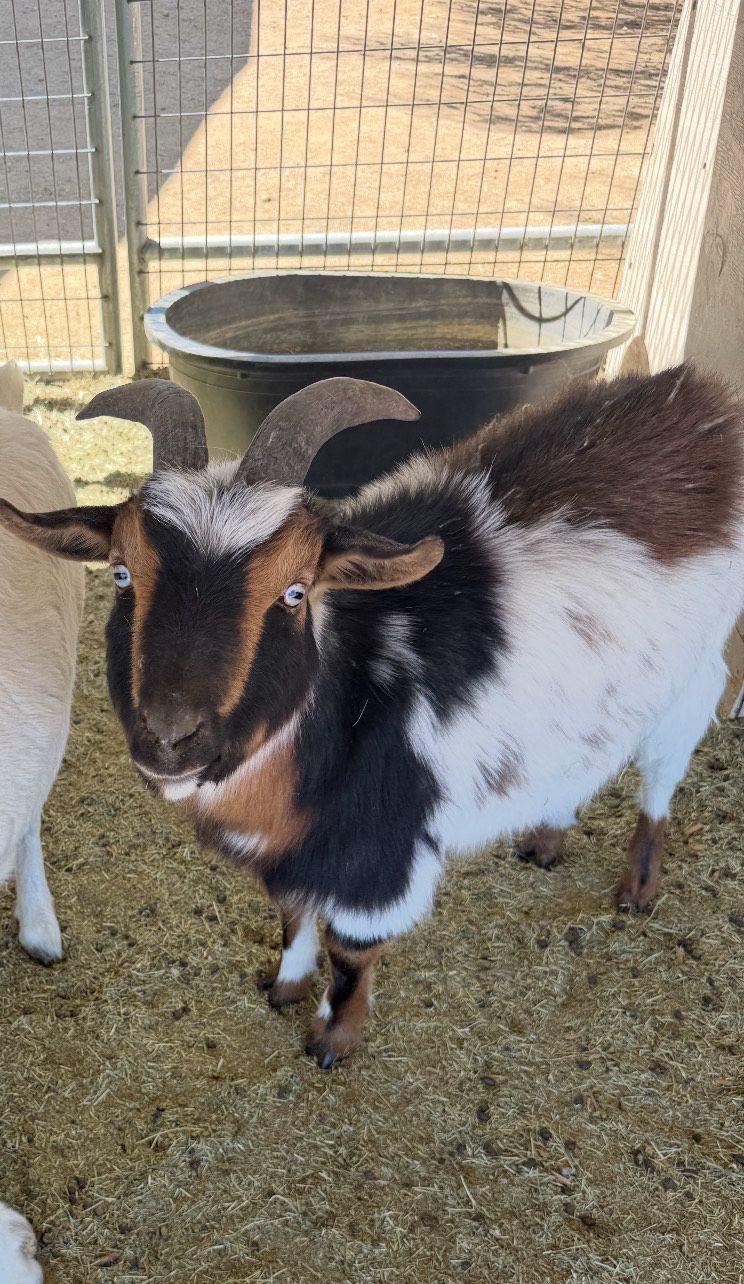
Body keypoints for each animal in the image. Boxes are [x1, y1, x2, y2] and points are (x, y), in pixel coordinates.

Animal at [0, 366, 742, 1065]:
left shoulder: (380, 849)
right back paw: (546, 838)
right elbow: (294, 917)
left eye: (295, 591)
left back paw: (638, 887)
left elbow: (351, 952)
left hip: (692, 682)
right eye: (122, 573)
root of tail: (706, 398)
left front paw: (332, 1037)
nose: (170, 736)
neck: (351, 698)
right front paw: (284, 987)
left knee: (660, 783)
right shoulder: (297, 849)